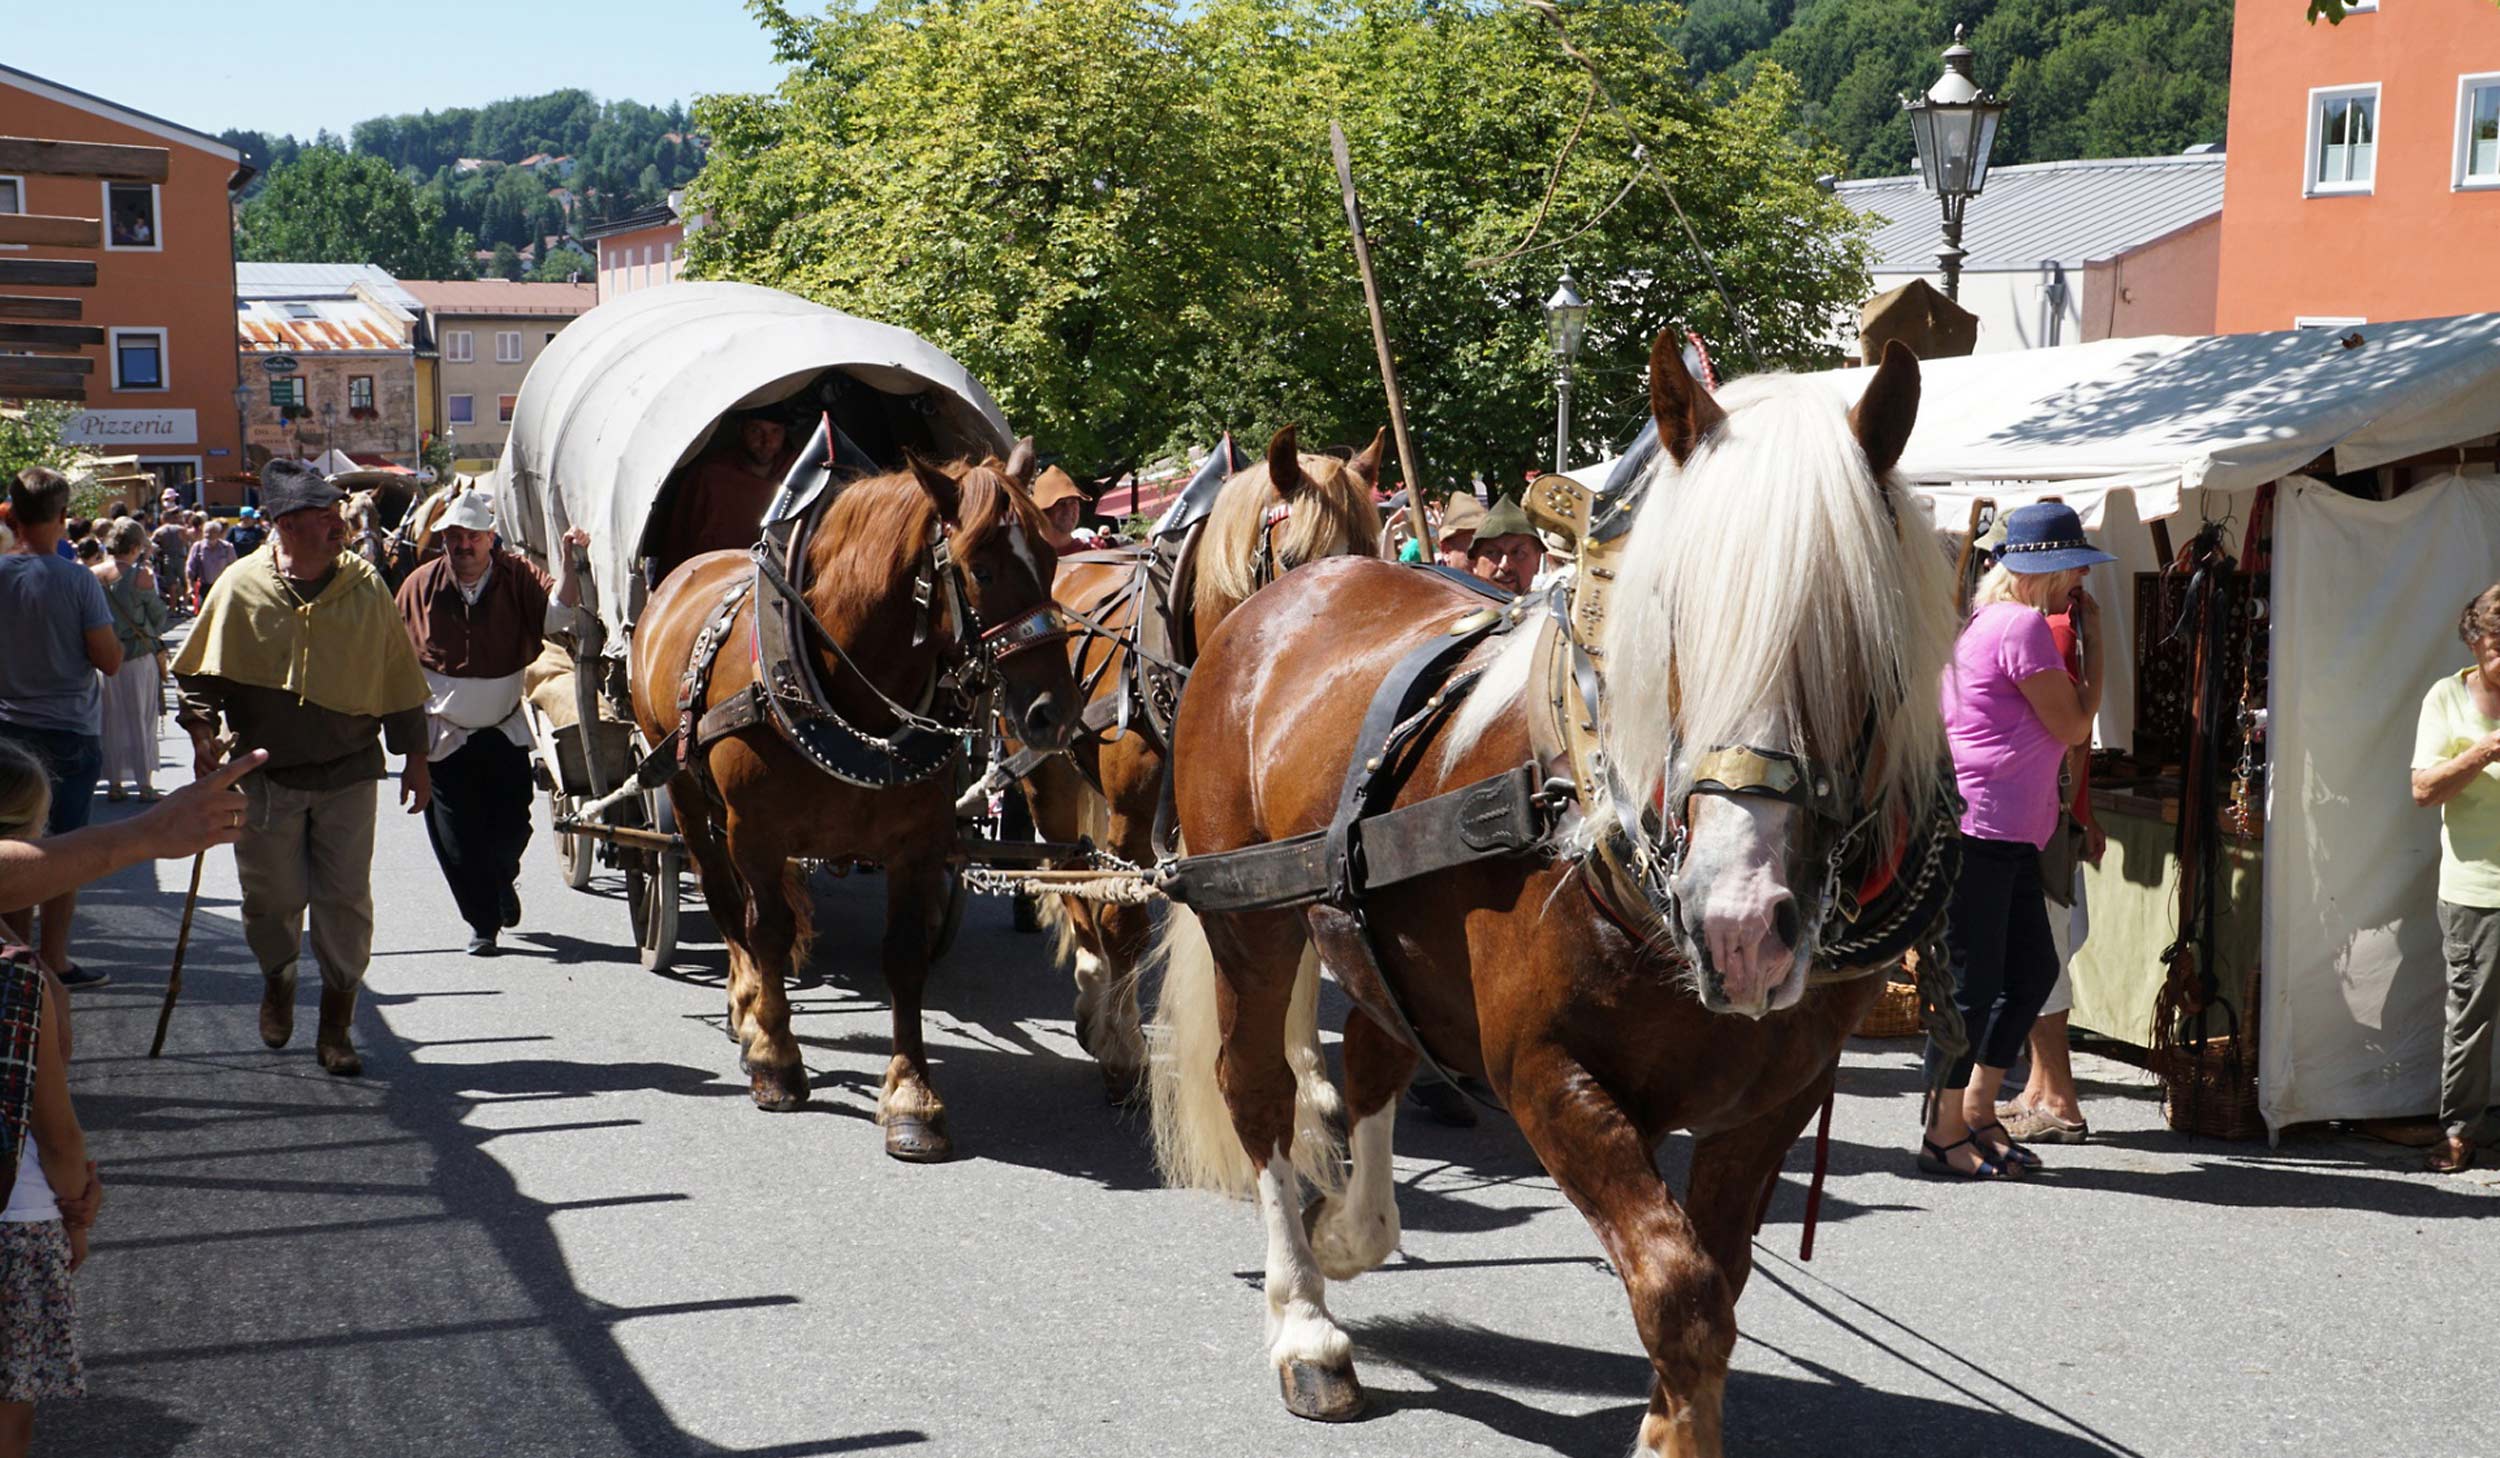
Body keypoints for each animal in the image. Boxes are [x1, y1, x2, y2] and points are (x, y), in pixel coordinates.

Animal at [625, 447, 1075, 1165]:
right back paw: (745, 1007)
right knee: (723, 898)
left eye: (1053, 559)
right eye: (980, 568)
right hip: (686, 795)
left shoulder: (917, 844)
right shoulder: (756, 833)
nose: (1054, 713)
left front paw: (912, 1098)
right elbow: (768, 931)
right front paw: (776, 1059)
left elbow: (904, 956)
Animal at [1015, 427, 1390, 1100]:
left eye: (1375, 554)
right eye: (1294, 560)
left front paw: (1309, 1075)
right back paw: (1091, 990)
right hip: (1044, 772)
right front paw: (1123, 1050)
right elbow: (1124, 922)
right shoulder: (1135, 819)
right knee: (1067, 872)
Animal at [1145, 337, 1950, 1450]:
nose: (1742, 928)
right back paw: (1306, 1323)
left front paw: (1668, 1423)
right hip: (1250, 923)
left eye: (1858, 639)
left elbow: (1717, 1285)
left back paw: (1350, 1229)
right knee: (1259, 1091)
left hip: (1370, 927)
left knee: (1375, 1063)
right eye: (1667, 618)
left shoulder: (1773, 1098)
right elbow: (1680, 1291)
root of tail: (1296, 591)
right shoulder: (1544, 1069)